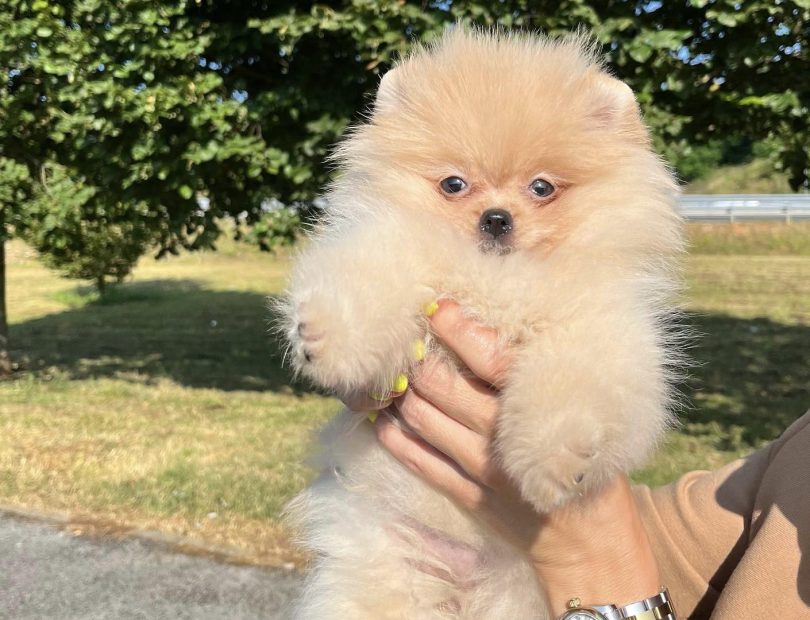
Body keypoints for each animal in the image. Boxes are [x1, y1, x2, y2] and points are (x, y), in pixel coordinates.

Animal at [280, 27, 684, 619]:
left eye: (541, 187)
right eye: (453, 184)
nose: (497, 218)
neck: (492, 282)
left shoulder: (598, 326)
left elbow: (575, 387)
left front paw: (557, 461)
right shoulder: (399, 250)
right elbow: (371, 276)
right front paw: (327, 339)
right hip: (382, 572)